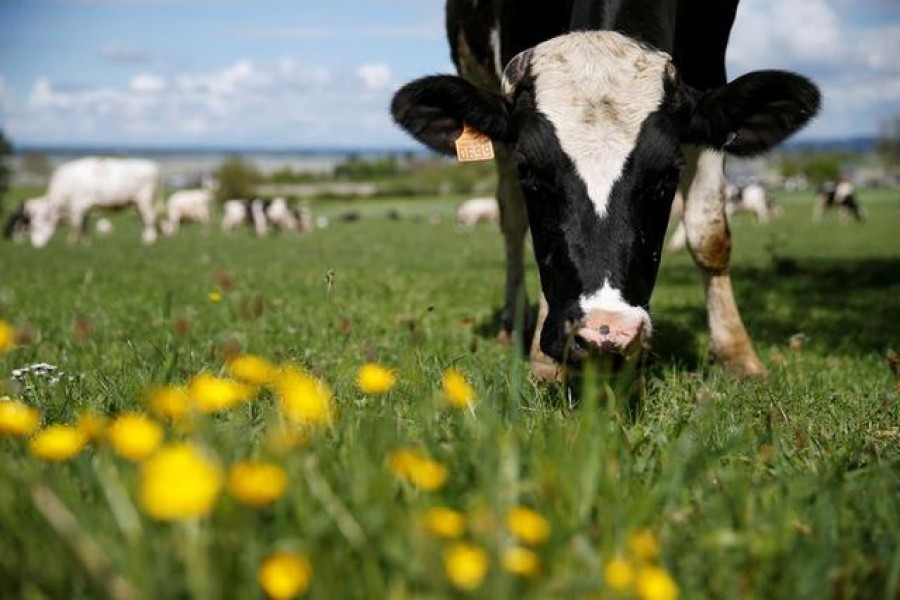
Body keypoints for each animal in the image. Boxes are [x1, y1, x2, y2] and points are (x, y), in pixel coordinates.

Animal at [23, 157, 161, 248]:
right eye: (31, 225)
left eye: (37, 225)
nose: (36, 245)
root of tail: (153, 166)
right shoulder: (84, 210)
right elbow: (84, 227)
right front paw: (86, 243)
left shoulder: (77, 207)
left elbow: (76, 225)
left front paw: (71, 243)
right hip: (137, 204)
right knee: (143, 221)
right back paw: (144, 239)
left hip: (145, 200)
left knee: (150, 219)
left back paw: (150, 241)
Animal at [390, 0, 820, 380]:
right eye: (529, 170)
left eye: (669, 173)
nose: (605, 331)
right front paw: (543, 364)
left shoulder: (709, 66)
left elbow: (709, 235)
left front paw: (737, 355)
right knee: (511, 219)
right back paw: (512, 324)